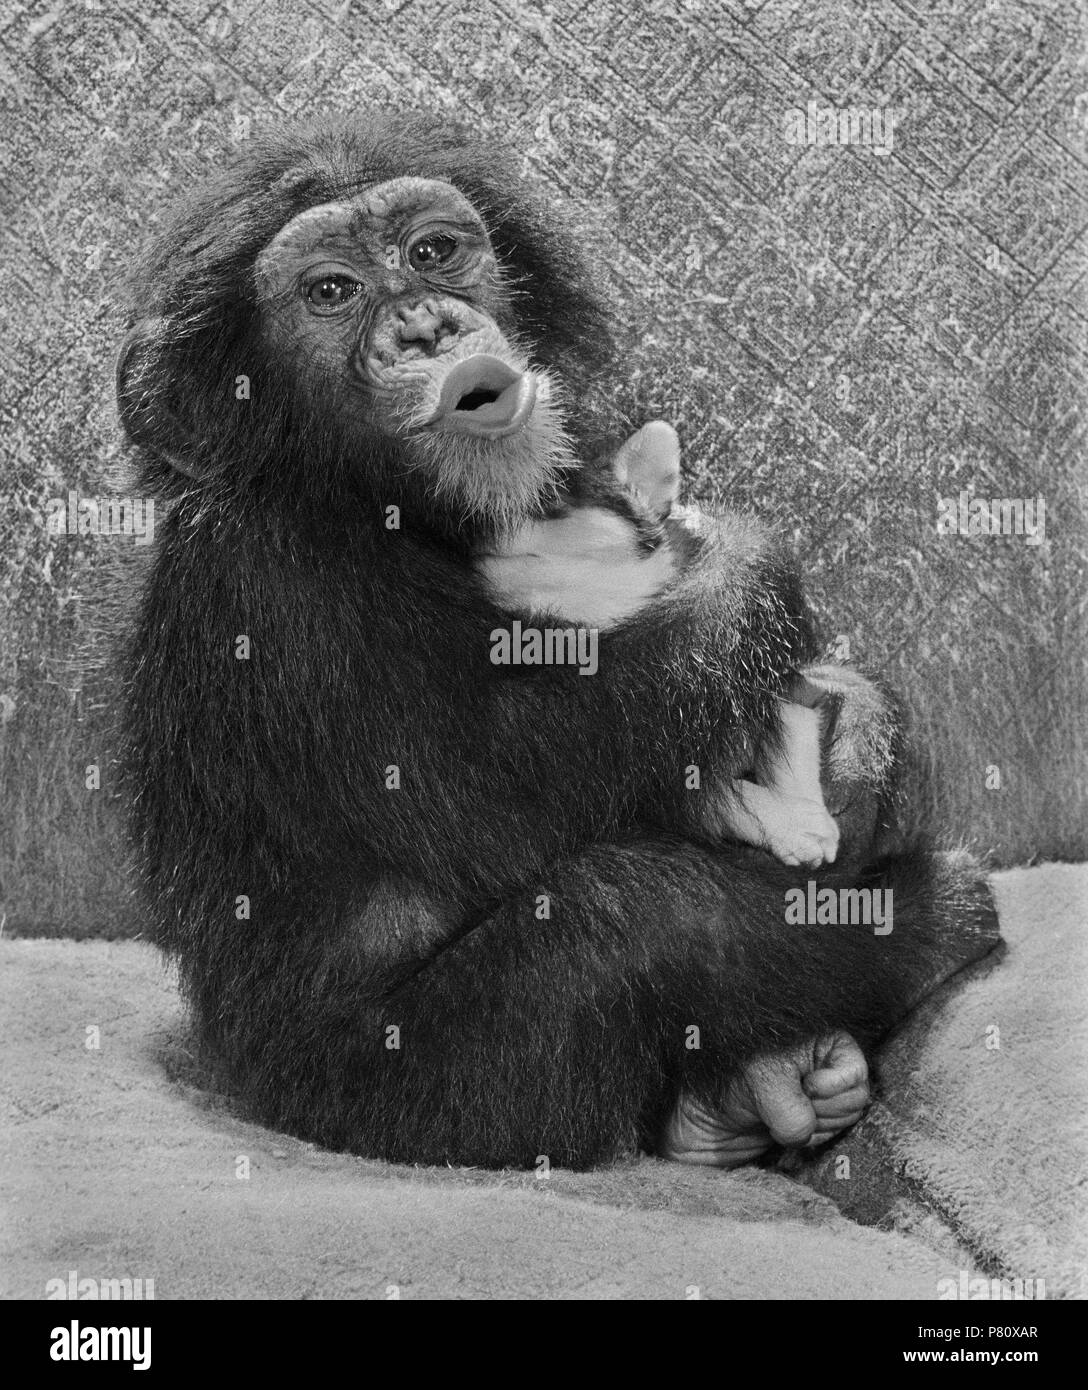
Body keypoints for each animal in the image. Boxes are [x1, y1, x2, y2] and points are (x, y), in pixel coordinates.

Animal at [114, 113, 1000, 1167]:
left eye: (433, 252)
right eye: (330, 292)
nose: (428, 326)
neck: (364, 494)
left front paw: (857, 746)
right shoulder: (266, 584)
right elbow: (502, 779)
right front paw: (742, 563)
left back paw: (765, 1091)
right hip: (414, 1100)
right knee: (626, 910)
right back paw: (917, 930)